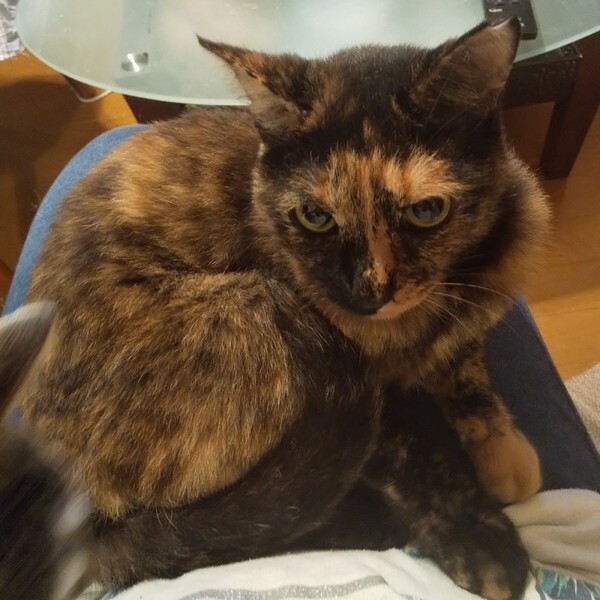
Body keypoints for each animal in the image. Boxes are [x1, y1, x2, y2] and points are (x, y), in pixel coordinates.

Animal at [18, 18, 549, 600]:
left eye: (427, 211)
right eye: (315, 216)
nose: (367, 292)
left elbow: (465, 363)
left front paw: (502, 448)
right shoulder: (355, 383)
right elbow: (410, 454)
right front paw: (480, 537)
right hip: (255, 316)